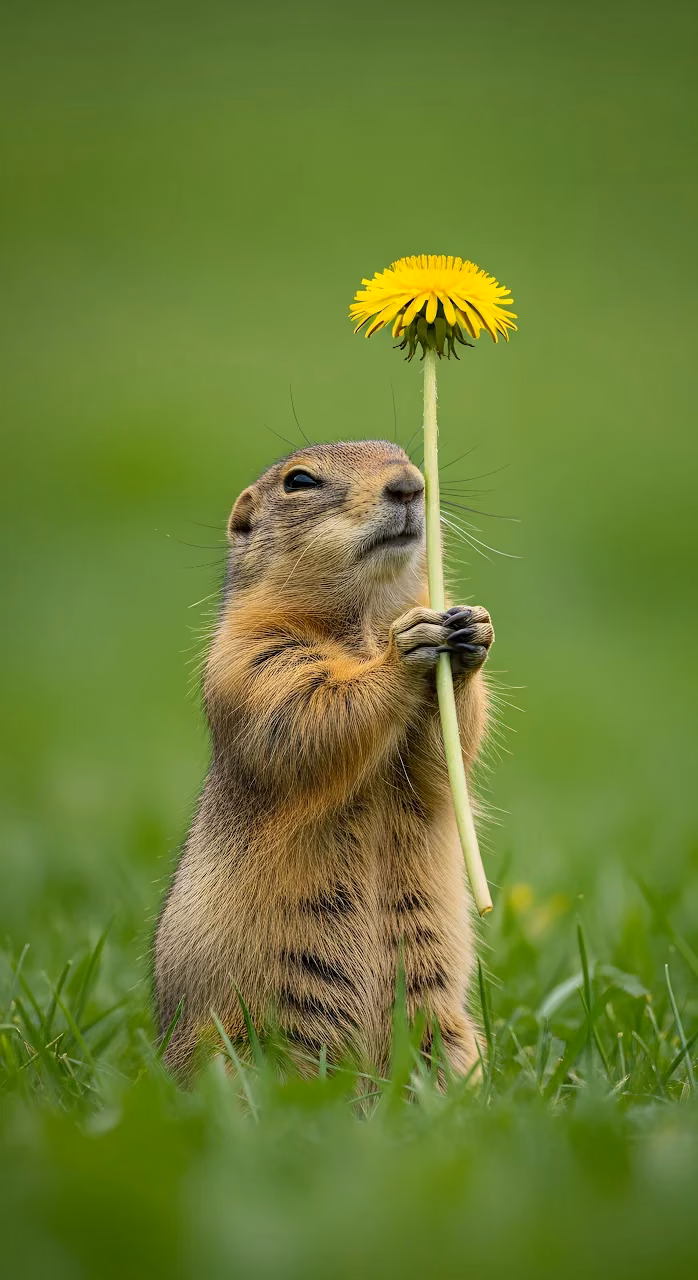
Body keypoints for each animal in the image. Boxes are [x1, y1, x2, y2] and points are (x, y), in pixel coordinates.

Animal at [154, 439, 494, 1079]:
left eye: (404, 453)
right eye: (300, 481)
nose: (410, 483)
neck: (362, 621)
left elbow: (442, 755)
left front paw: (472, 630)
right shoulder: (251, 660)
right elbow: (305, 713)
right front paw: (408, 647)